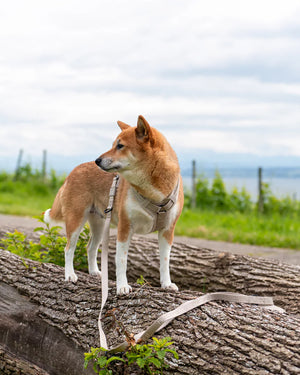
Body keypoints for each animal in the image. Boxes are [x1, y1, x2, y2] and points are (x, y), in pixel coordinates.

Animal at [44, 116, 184, 296]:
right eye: (113, 144)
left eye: (120, 146)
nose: (97, 161)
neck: (151, 192)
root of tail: (73, 171)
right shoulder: (125, 227)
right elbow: (121, 260)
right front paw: (122, 286)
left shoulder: (167, 231)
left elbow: (165, 261)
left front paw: (166, 284)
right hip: (76, 220)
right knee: (69, 249)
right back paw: (70, 275)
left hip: (99, 224)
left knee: (90, 248)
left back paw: (94, 272)